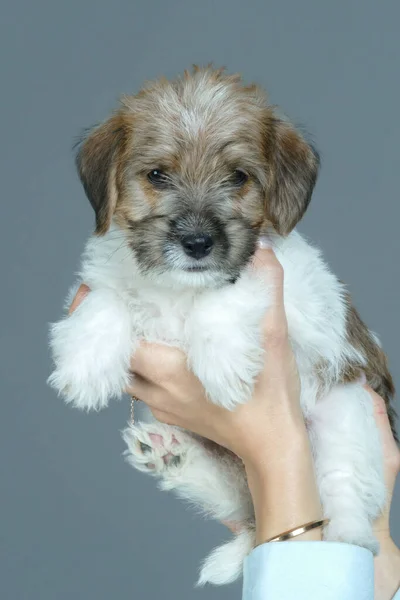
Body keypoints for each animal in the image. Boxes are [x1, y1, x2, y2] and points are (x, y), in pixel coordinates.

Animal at [47, 67, 396, 584]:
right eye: (157, 175)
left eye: (238, 177)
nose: (197, 243)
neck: (179, 289)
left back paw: (345, 541)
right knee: (233, 491)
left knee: (347, 490)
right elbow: (107, 298)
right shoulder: (108, 276)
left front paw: (222, 362)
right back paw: (169, 452)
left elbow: (228, 290)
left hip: (346, 412)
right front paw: (85, 365)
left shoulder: (293, 289)